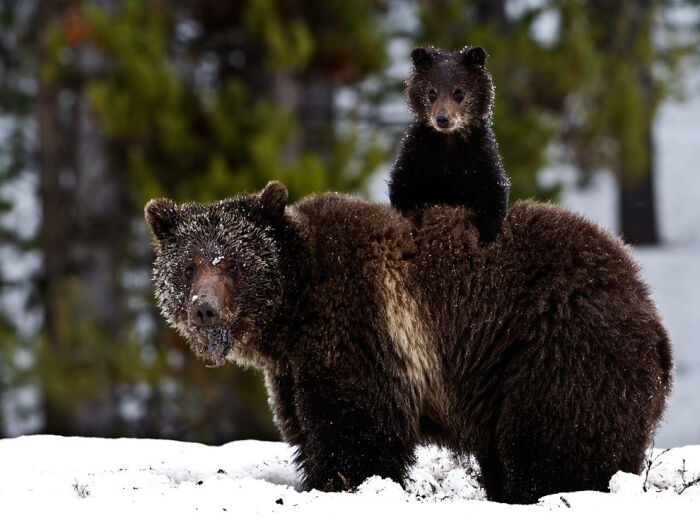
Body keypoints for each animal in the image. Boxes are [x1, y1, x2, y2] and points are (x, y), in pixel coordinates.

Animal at [145, 182, 668, 502]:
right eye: (188, 266)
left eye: (233, 264)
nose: (204, 308)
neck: (292, 313)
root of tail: (640, 290)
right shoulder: (292, 369)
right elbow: (307, 428)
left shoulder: (360, 325)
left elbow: (355, 427)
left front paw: (345, 484)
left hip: (555, 347)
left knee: (556, 439)